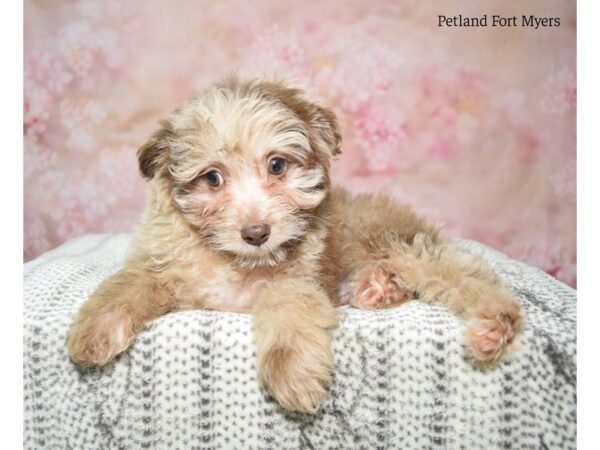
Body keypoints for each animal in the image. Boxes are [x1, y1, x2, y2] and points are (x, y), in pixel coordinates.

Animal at [67, 75, 524, 414]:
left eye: (277, 165)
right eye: (212, 178)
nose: (256, 233)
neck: (237, 261)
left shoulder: (296, 280)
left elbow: (285, 308)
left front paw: (293, 374)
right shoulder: (164, 263)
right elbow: (130, 281)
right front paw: (93, 331)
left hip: (397, 242)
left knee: (461, 273)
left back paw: (494, 325)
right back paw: (379, 288)